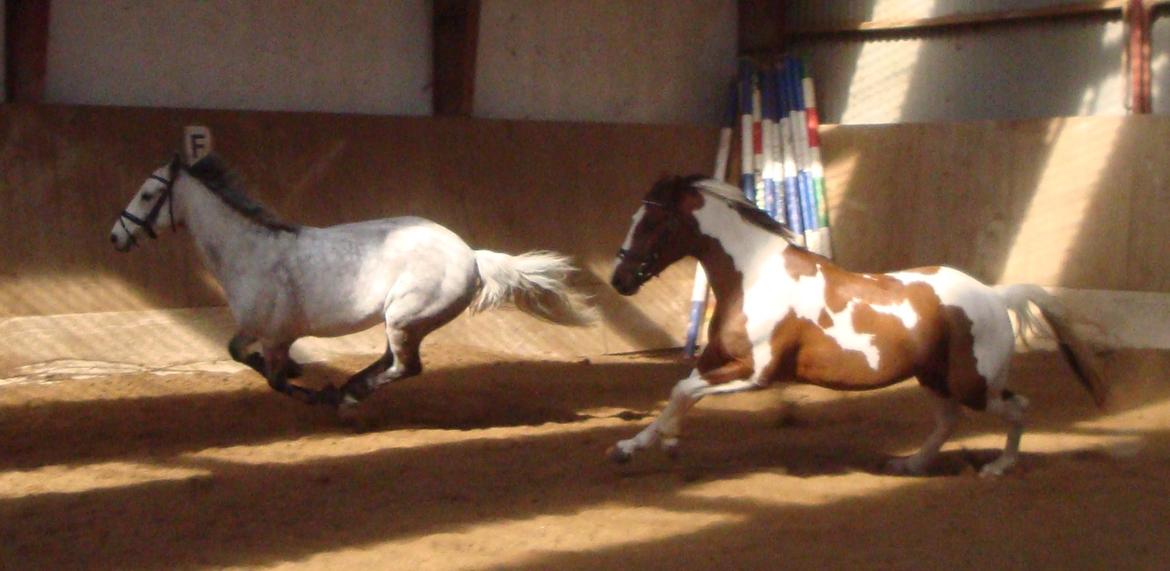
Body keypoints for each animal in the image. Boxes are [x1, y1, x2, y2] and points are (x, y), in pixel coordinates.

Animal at [110, 153, 595, 409]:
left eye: (149, 194)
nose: (116, 236)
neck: (248, 252)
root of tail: (471, 255)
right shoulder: (262, 333)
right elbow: (252, 360)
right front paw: (307, 376)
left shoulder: (270, 333)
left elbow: (268, 374)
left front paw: (310, 389)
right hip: (406, 321)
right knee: (392, 361)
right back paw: (349, 388)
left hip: (405, 316)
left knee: (406, 366)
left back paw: (347, 397)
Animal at [608, 175, 1108, 477]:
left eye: (651, 222)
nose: (620, 280)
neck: (754, 275)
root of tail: (995, 295)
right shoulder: (719, 358)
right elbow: (680, 390)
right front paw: (635, 446)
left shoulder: (757, 373)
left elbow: (682, 390)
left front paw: (665, 442)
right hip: (934, 377)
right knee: (949, 420)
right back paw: (909, 465)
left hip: (973, 384)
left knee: (1017, 406)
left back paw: (997, 468)